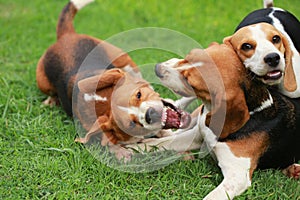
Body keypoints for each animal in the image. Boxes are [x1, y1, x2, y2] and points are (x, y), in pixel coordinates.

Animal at [35, 0, 190, 159]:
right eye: (131, 125)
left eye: (138, 94)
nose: (151, 114)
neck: (102, 99)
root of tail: (65, 36)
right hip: (42, 82)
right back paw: (51, 100)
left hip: (124, 60)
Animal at [154, 43, 298, 199]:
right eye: (188, 57)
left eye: (189, 81)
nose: (157, 68)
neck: (254, 111)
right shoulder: (198, 135)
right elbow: (161, 143)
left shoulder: (237, 177)